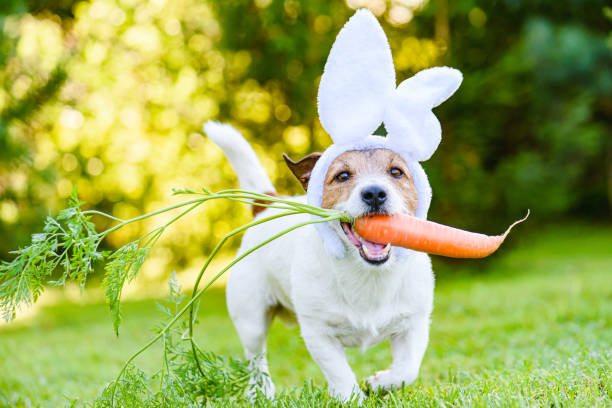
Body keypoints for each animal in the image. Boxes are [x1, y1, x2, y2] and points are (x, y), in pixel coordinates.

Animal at [203, 8, 462, 402]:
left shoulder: (414, 323)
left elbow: (407, 369)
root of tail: (268, 205)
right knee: (255, 357)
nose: (374, 193)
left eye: (396, 172)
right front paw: (353, 395)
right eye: (341, 176)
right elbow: (339, 373)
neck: (367, 275)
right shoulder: (318, 333)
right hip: (250, 313)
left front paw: (382, 381)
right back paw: (261, 392)